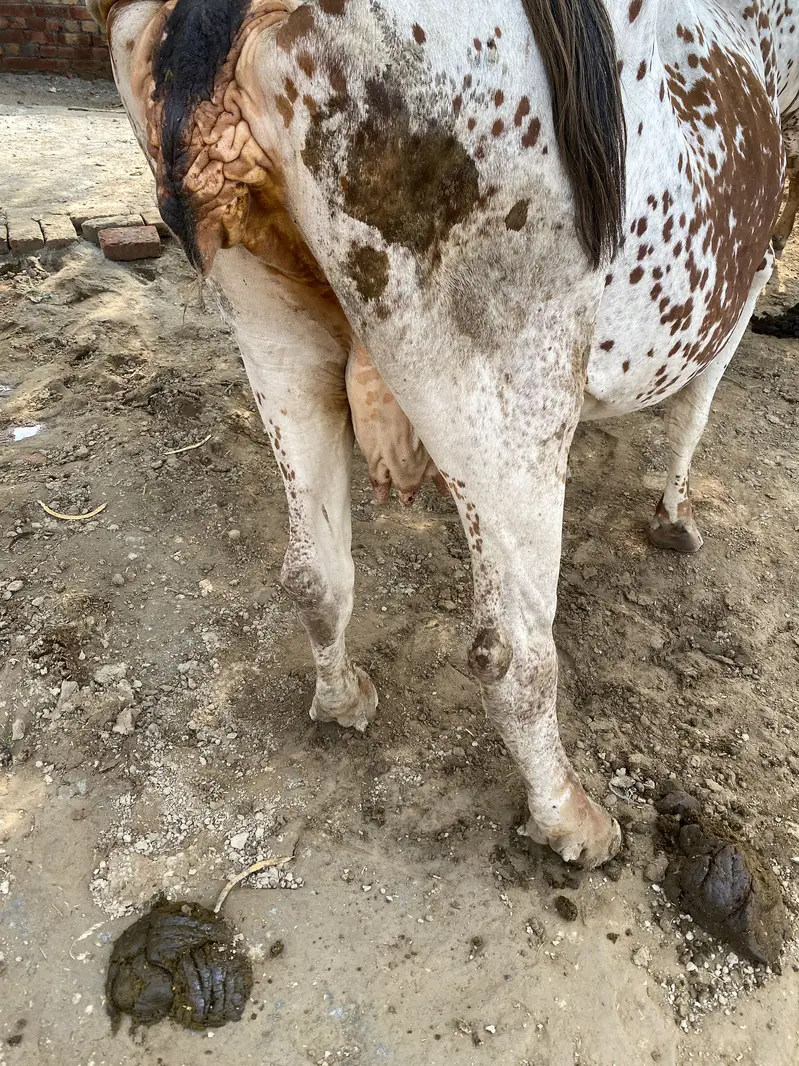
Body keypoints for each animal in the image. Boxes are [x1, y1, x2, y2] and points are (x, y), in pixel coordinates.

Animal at [87, 0, 790, 869]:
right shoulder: (745, 278)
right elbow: (695, 410)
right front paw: (675, 517)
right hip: (507, 396)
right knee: (512, 652)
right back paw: (571, 820)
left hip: (267, 321)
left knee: (314, 572)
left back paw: (341, 698)